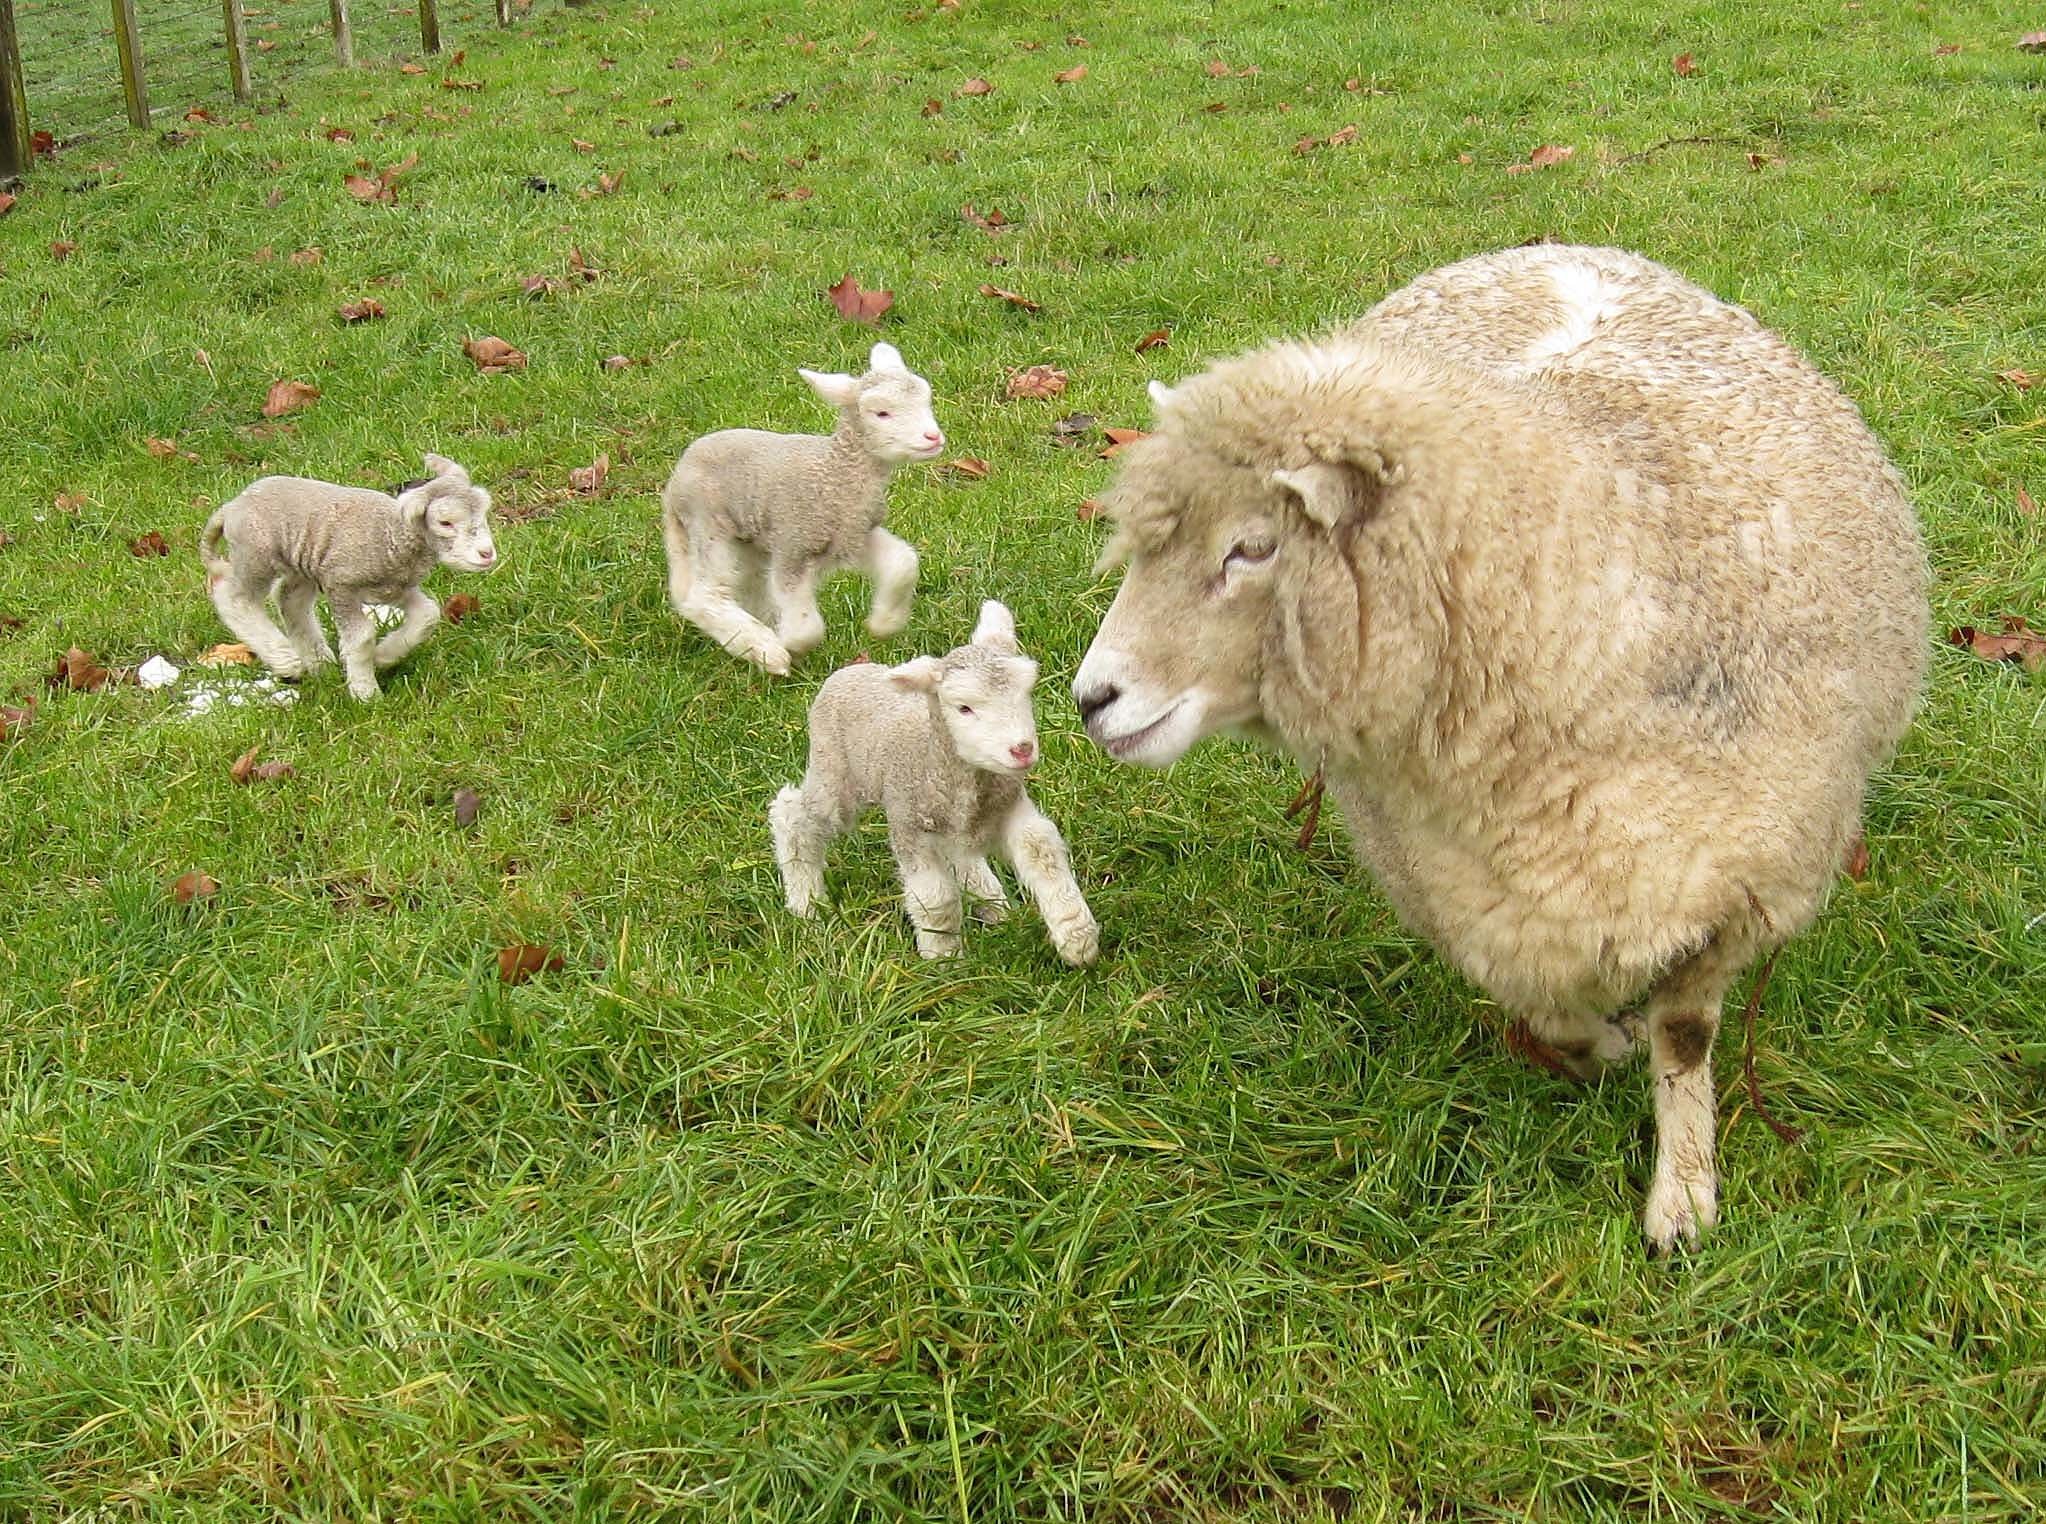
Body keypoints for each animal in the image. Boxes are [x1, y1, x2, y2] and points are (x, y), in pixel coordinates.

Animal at [196, 445, 499, 695]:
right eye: (445, 522)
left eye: (483, 511)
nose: (487, 554)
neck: (391, 534)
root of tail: (232, 506)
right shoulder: (341, 585)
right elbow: (362, 637)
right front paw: (366, 693)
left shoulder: (395, 588)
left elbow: (428, 615)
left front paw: (384, 656)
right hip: (256, 554)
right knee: (234, 597)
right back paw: (286, 659)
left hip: (302, 562)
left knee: (289, 600)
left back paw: (319, 662)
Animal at [662, 345, 941, 679]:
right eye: (881, 413)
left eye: (925, 399)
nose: (933, 437)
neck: (835, 474)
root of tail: (672, 486)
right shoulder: (794, 543)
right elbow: (807, 628)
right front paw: (790, 646)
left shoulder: (853, 534)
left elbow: (903, 563)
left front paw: (884, 624)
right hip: (708, 523)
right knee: (705, 596)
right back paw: (764, 650)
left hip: (749, 538)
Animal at [769, 597, 1096, 961]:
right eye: (963, 708)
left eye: (1025, 693)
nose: (1022, 749)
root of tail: (849, 671)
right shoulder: (910, 827)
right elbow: (935, 897)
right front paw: (943, 958)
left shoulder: (1011, 807)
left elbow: (1041, 853)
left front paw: (1076, 937)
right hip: (834, 774)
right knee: (793, 814)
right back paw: (806, 903)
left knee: (963, 857)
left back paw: (994, 905)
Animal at [1080, 246, 1923, 1251]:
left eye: (1252, 548)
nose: (1090, 699)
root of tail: (1557, 246)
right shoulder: (1469, 898)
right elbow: (1552, 1013)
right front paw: (1605, 1047)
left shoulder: (1735, 886)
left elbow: (1685, 1037)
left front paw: (1682, 1198)